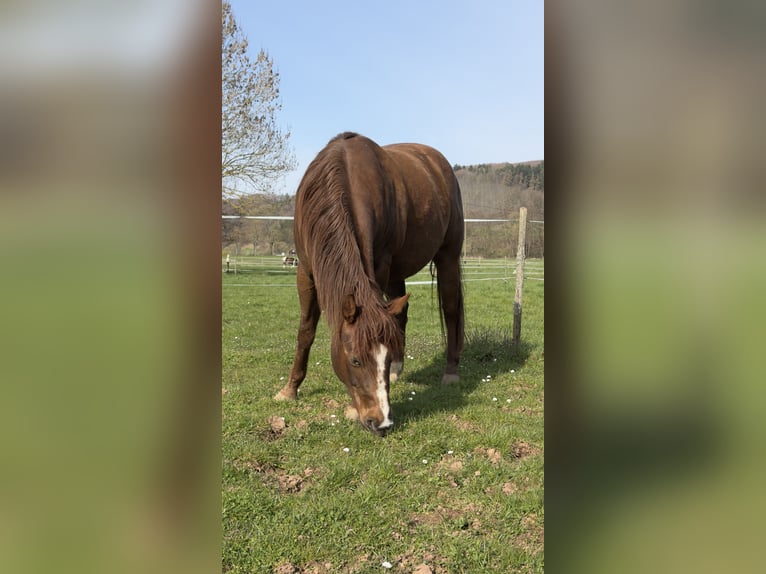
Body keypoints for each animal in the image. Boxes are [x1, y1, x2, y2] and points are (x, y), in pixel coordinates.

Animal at [274, 132, 464, 436]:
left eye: (382, 361)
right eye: (355, 360)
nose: (381, 421)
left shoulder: (380, 265)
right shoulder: (305, 269)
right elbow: (305, 332)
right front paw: (290, 389)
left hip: (447, 256)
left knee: (451, 310)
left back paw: (451, 372)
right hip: (399, 270)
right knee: (401, 314)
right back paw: (401, 370)